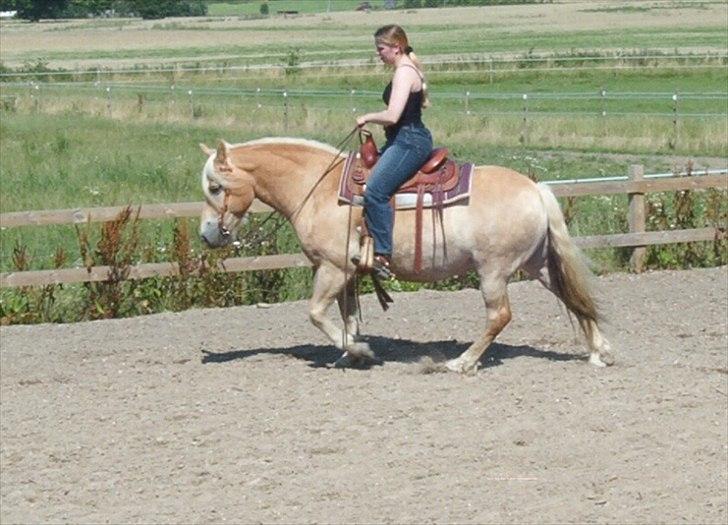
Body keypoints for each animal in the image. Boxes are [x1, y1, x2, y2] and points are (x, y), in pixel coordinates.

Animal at [196, 136, 612, 372]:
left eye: (215, 187)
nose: (206, 234)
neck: (317, 188)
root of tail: (535, 189)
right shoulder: (348, 273)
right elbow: (348, 317)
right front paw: (350, 355)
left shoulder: (332, 269)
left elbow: (316, 314)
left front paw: (360, 350)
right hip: (538, 263)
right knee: (573, 297)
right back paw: (598, 352)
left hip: (493, 272)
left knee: (500, 316)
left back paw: (462, 363)